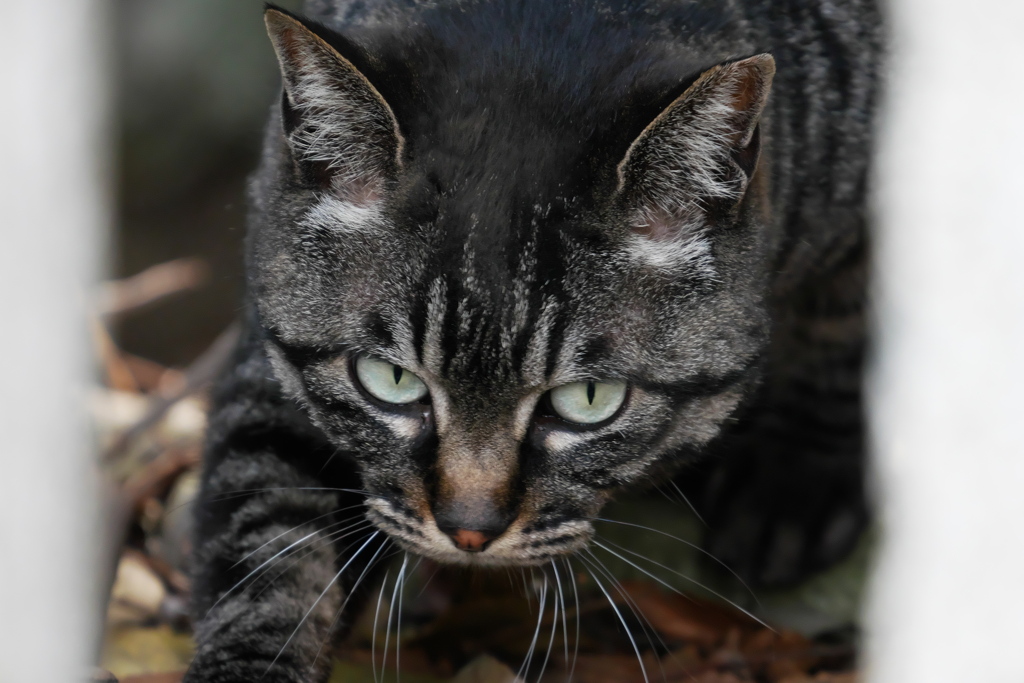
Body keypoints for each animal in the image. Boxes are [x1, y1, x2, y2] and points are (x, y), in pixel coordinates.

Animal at [188, 1, 884, 679]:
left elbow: (844, 324)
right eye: (392, 381)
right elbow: (266, 543)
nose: (469, 531)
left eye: (590, 399)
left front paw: (795, 479)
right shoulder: (274, 350)